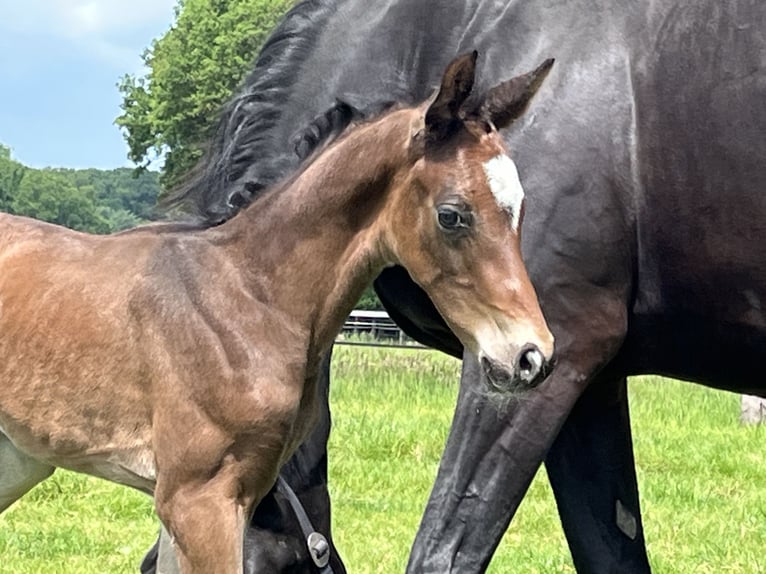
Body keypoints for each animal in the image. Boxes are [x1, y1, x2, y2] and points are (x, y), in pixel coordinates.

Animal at [0, 53, 556, 572]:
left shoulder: (219, 499)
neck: (252, 299)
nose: (532, 356)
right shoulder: (197, 500)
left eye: (521, 209)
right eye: (451, 215)